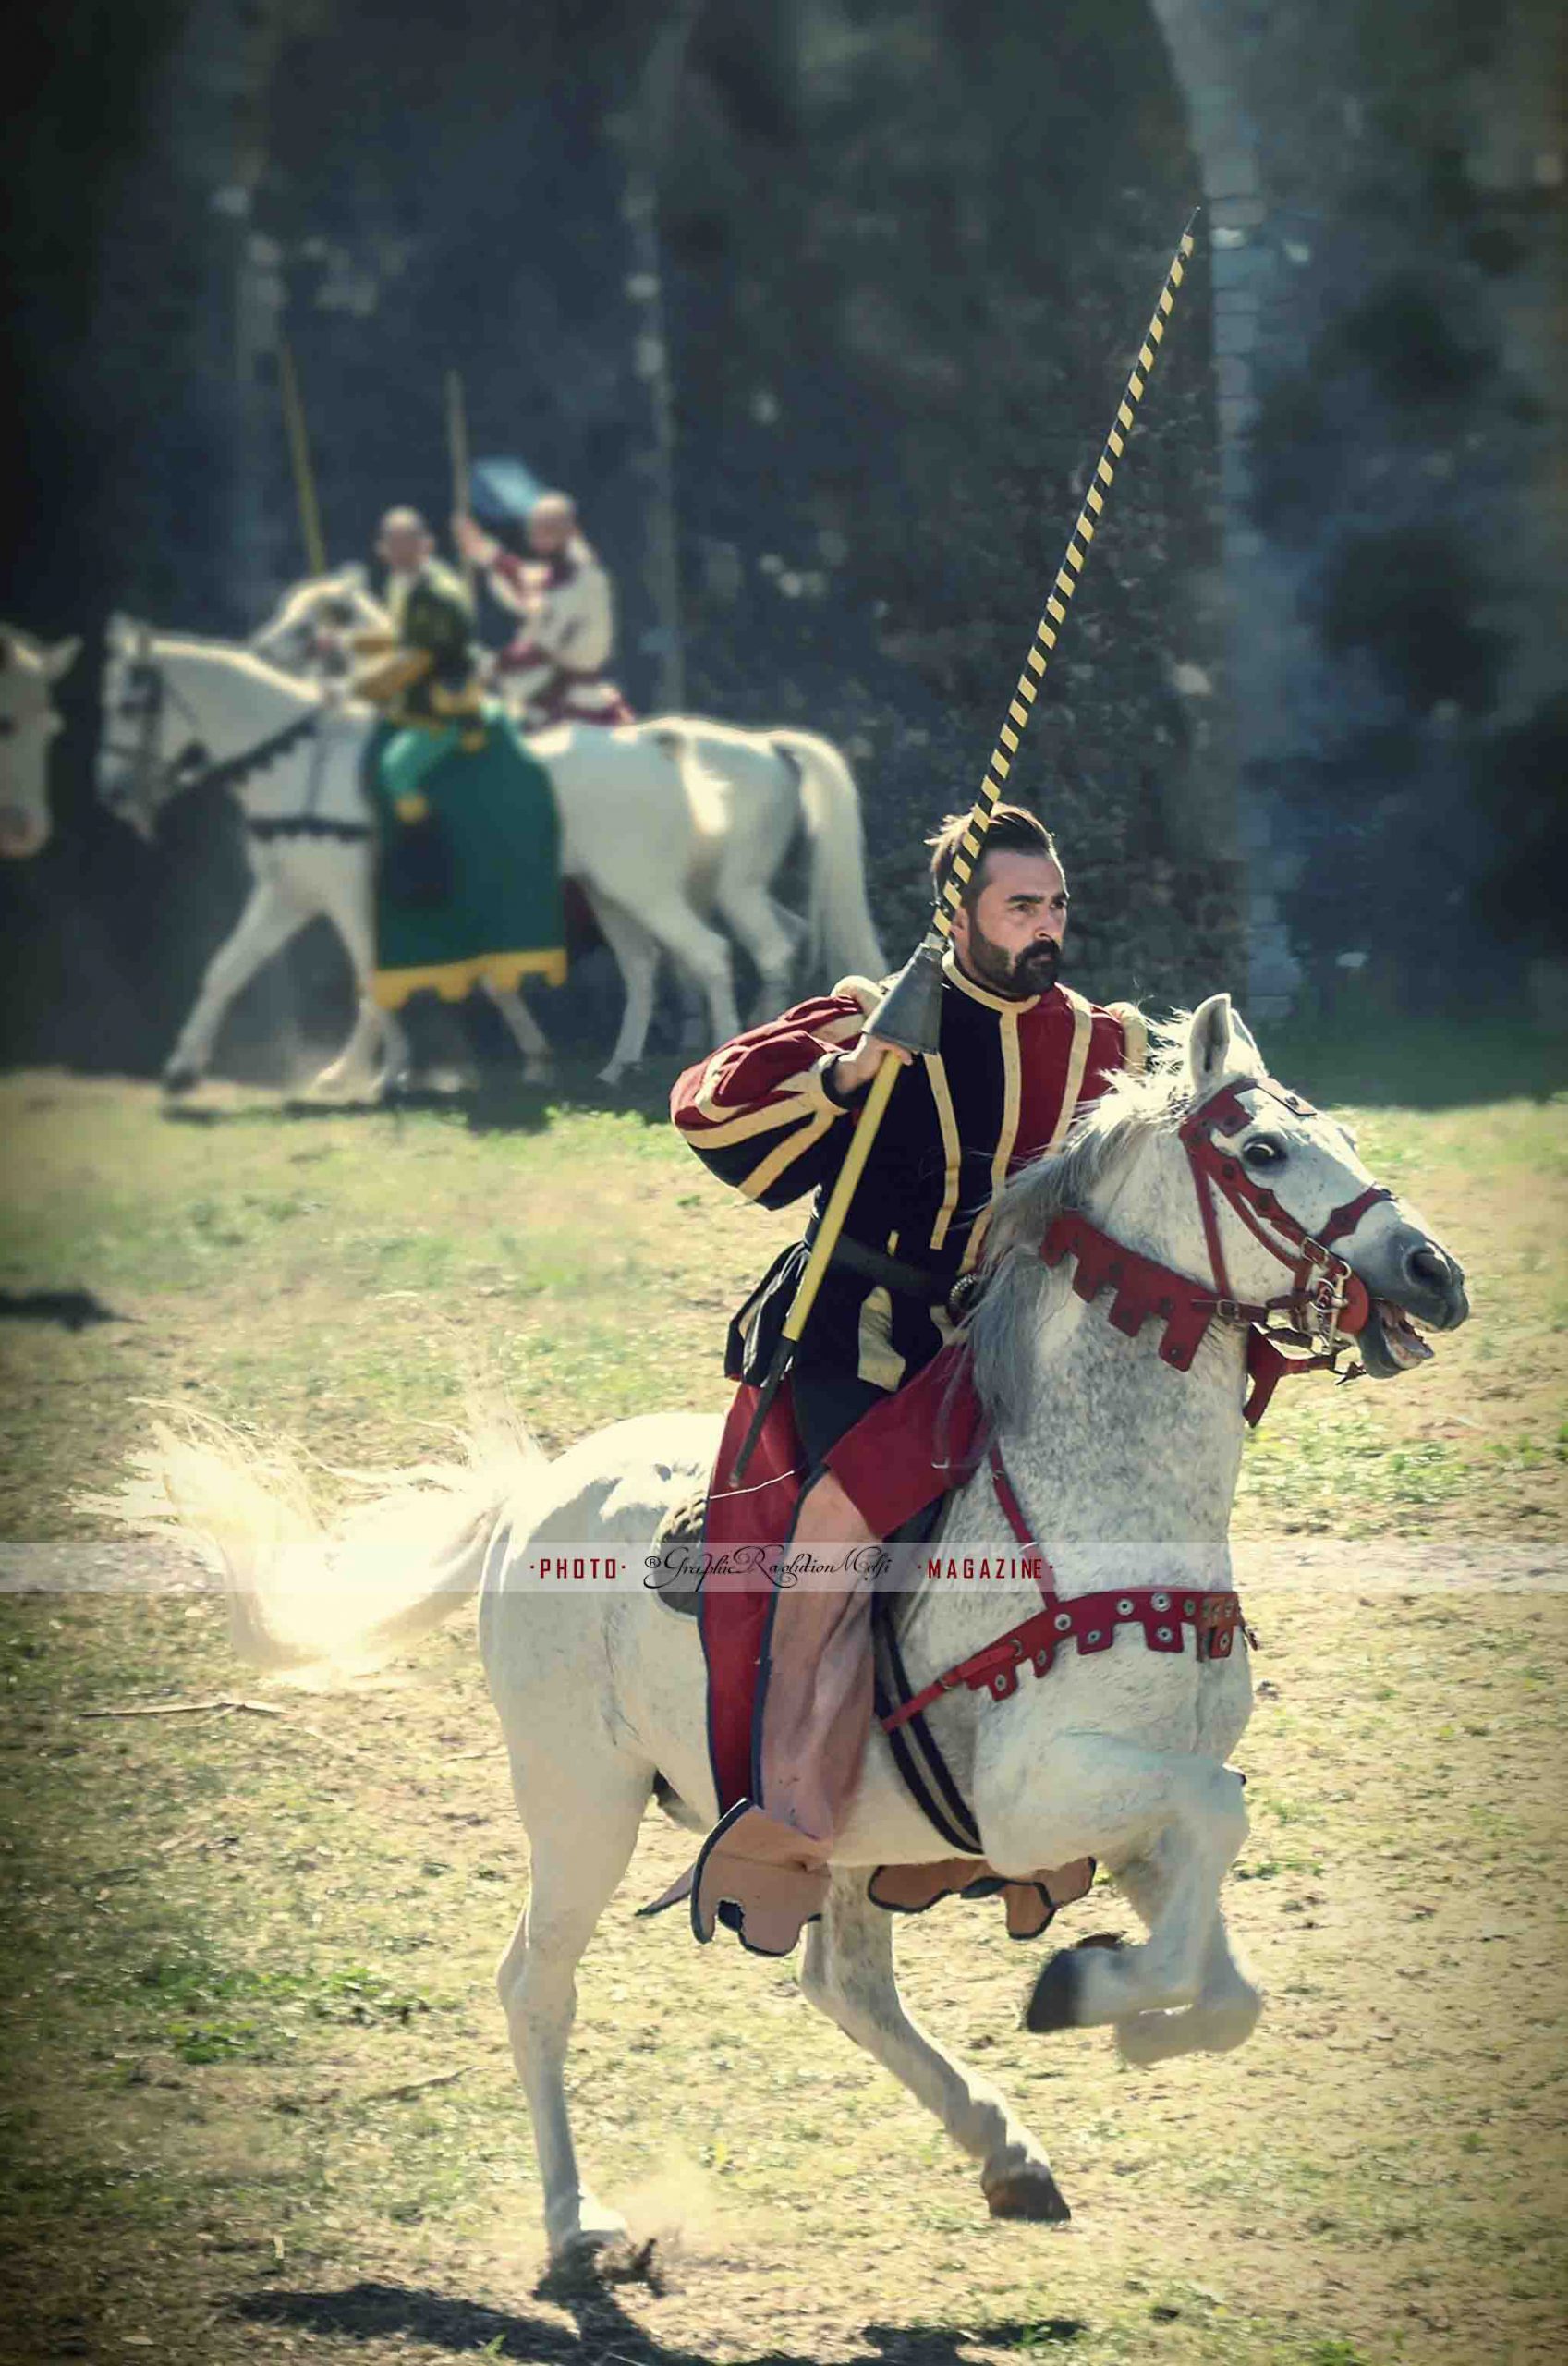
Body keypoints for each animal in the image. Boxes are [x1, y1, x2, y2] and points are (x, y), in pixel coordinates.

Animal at [95, 610, 761, 1088]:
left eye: (129, 704)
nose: (112, 790)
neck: (299, 765)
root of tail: (652, 745)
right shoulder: (289, 893)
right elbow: (226, 968)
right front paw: (183, 1068)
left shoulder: (346, 896)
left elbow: (371, 981)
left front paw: (371, 1071)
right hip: (611, 892)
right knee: (643, 969)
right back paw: (617, 1065)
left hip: (639, 887)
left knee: (709, 954)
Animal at [134, 994, 1476, 2252]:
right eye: (1260, 1151)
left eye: (1345, 1137)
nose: (1433, 1273)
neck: (1092, 1494)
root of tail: (529, 1498)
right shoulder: (1034, 1801)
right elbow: (1221, 1818)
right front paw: (1093, 1996)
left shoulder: (1138, 1804)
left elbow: (1227, 1964)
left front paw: (1127, 2012)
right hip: (579, 1803)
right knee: (535, 1983)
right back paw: (576, 2222)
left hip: (825, 1830)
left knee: (844, 1984)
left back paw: (1003, 2151)